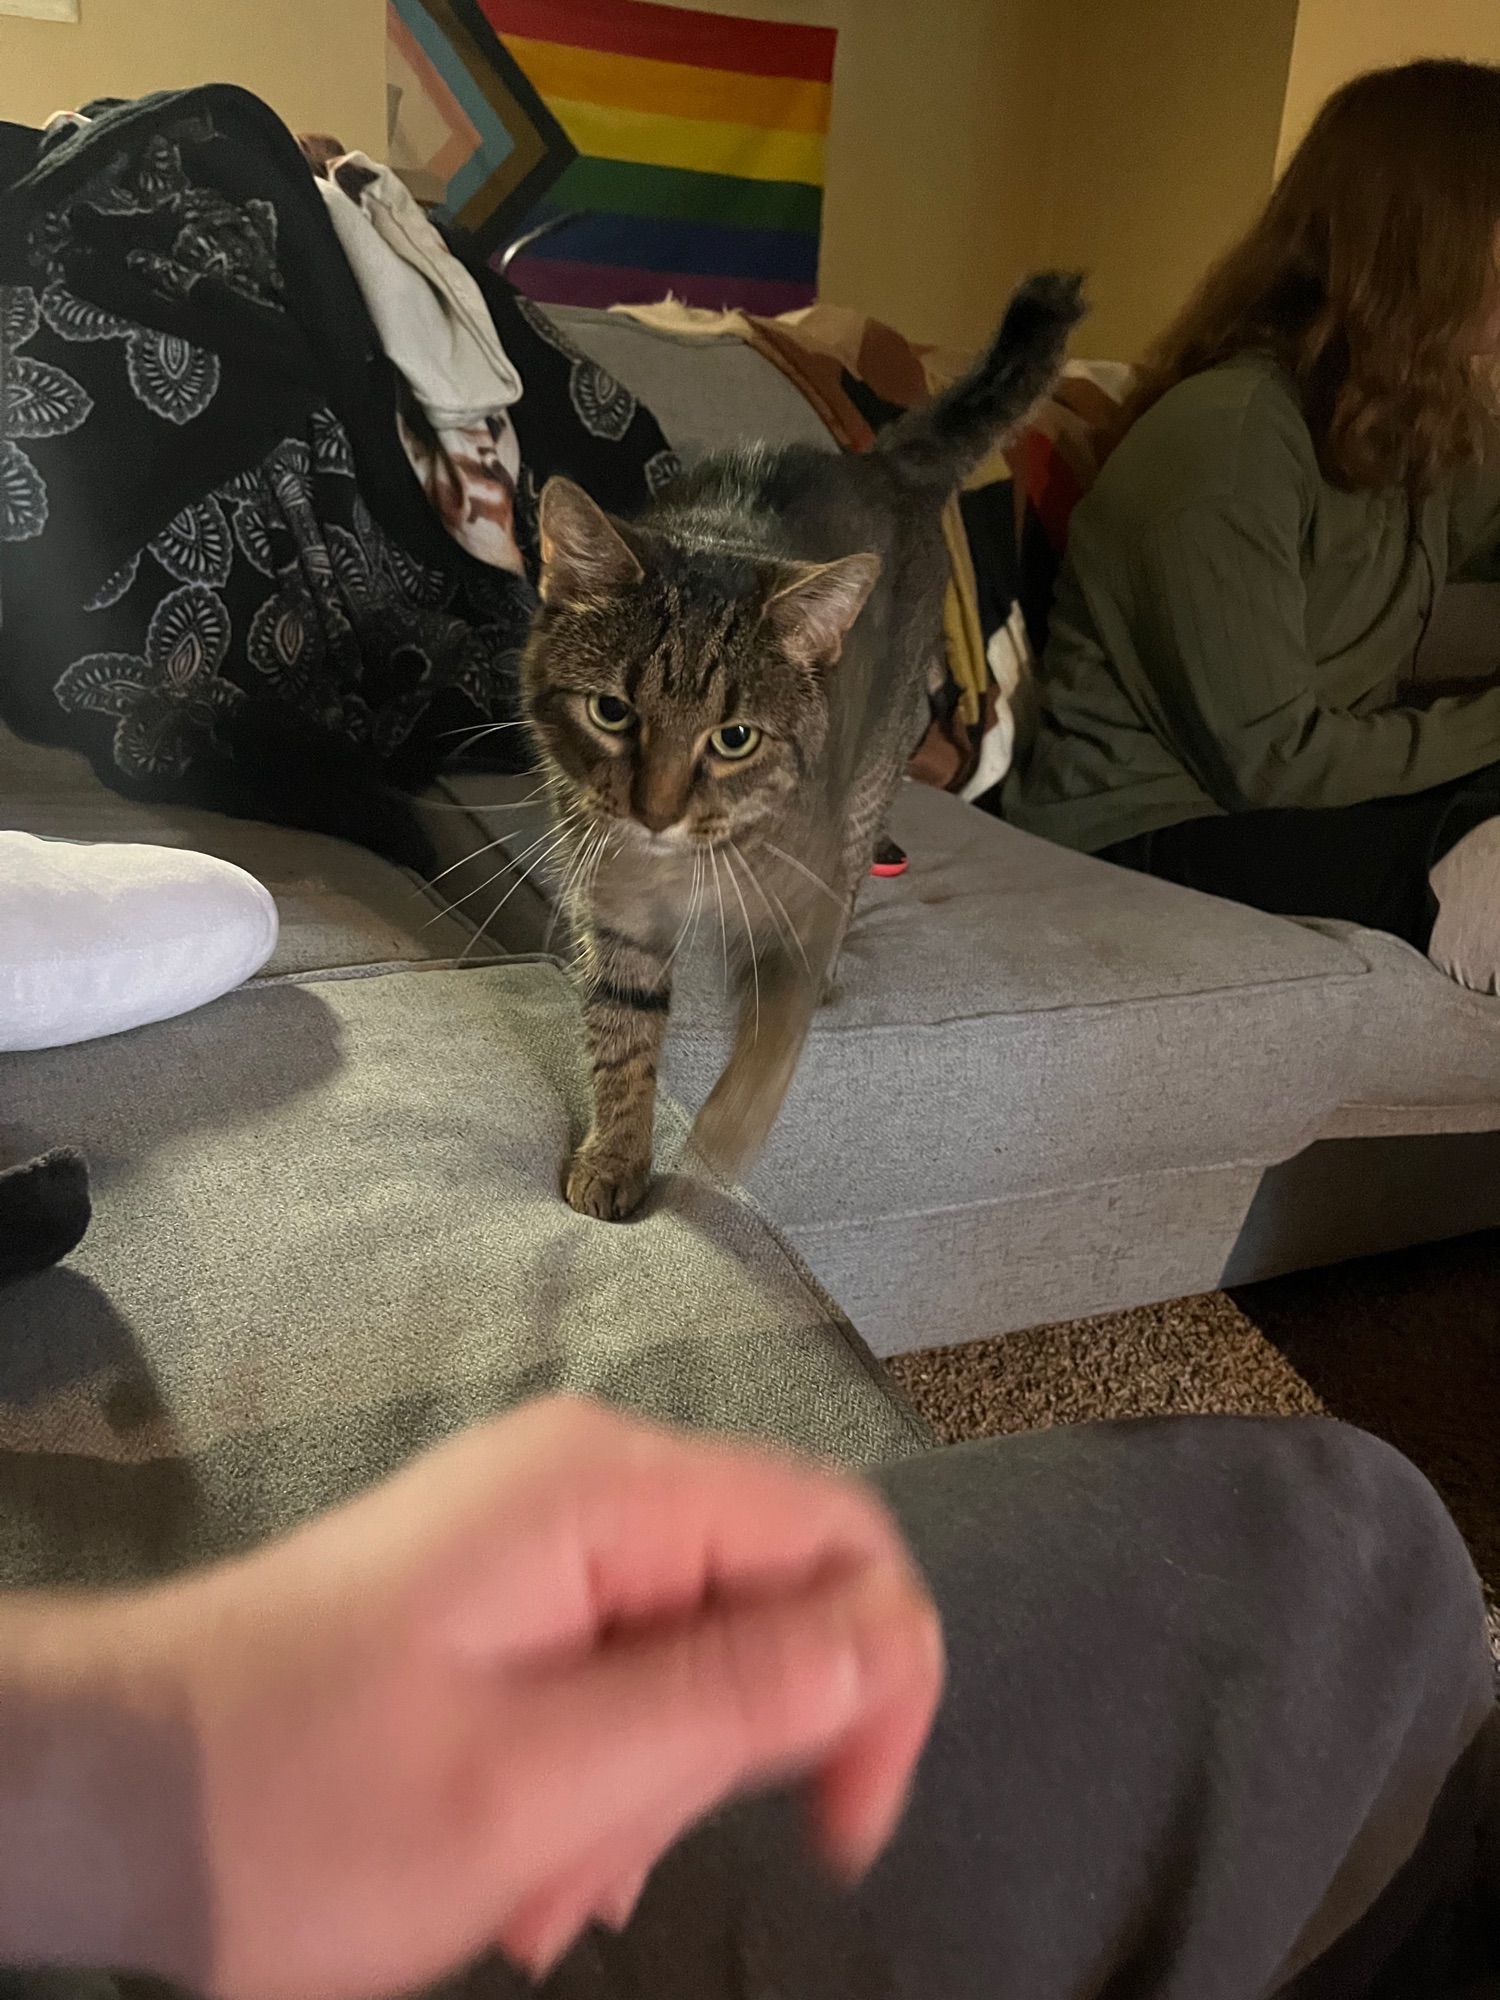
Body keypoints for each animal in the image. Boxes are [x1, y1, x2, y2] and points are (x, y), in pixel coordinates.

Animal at [524, 274, 1088, 1216]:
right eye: (611, 712)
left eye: (735, 738)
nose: (655, 811)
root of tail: (881, 459)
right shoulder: (615, 911)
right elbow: (623, 1037)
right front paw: (617, 1155)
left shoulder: (801, 899)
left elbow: (771, 1033)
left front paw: (724, 1131)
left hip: (869, 786)